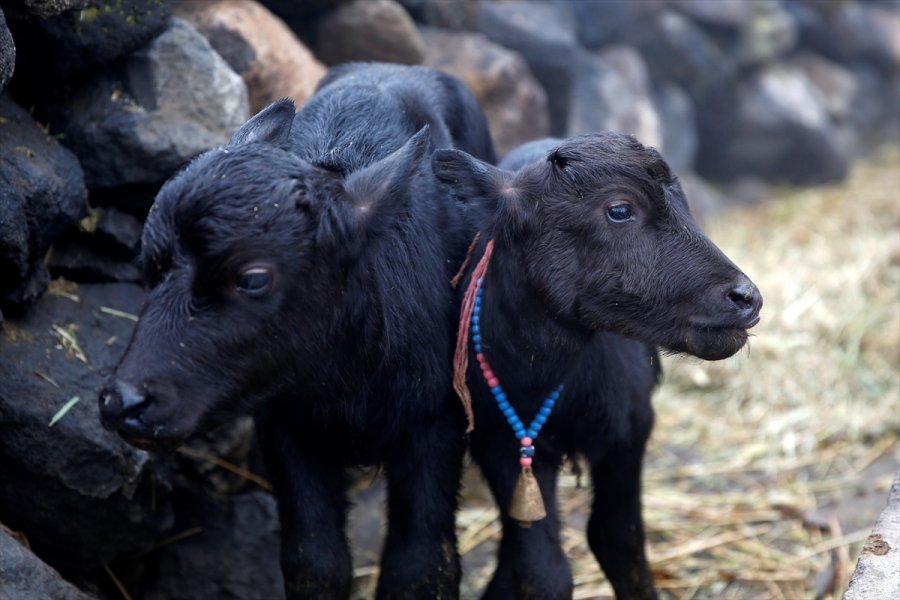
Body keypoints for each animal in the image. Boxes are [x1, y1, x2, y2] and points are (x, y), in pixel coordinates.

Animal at [101, 63, 496, 596]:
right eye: (150, 262)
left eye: (253, 278)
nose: (125, 402)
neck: (350, 377)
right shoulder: (287, 427)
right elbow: (315, 560)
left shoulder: (436, 423)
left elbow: (421, 565)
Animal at [434, 137, 760, 600]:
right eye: (619, 210)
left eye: (684, 205)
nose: (746, 297)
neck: (545, 376)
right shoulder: (498, 440)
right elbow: (541, 571)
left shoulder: (629, 428)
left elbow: (619, 542)